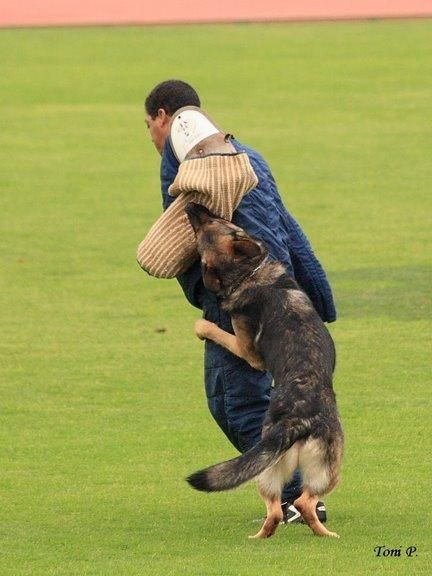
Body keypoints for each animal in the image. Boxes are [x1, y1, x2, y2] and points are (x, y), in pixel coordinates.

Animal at [186, 204, 344, 540]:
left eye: (211, 222)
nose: (192, 206)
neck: (250, 273)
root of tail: (296, 421)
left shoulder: (248, 351)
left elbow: (211, 328)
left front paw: (202, 327)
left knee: (291, 505)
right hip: (304, 469)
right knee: (296, 504)